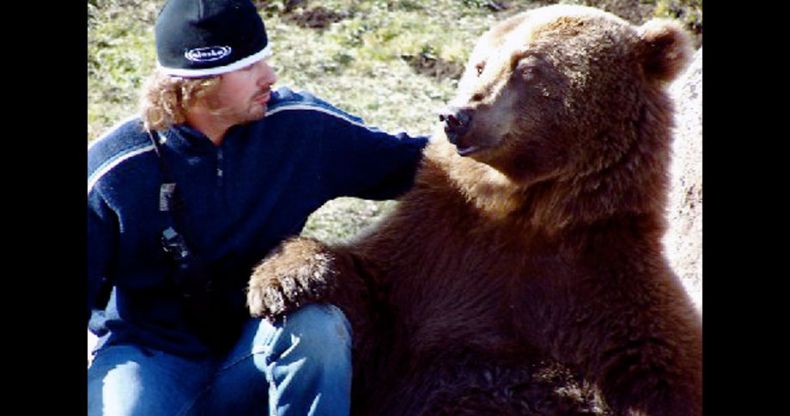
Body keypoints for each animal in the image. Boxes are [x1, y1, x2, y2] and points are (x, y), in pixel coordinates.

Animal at [251, 4, 704, 416]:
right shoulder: (438, 249)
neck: (525, 210)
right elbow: (367, 291)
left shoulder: (614, 307)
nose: (456, 115)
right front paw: (285, 282)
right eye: (481, 65)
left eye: (528, 68)